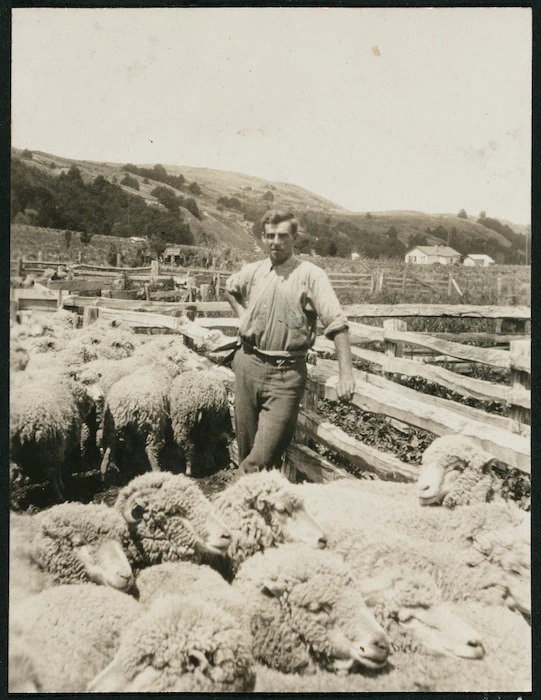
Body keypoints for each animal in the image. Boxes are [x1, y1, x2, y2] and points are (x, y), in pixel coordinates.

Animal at [9, 360, 104, 498]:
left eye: (97, 379)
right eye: (85, 382)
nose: (101, 396)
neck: (66, 389)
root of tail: (21, 420)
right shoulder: (61, 441)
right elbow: (59, 467)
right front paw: (62, 485)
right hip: (49, 442)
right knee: (51, 470)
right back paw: (58, 494)